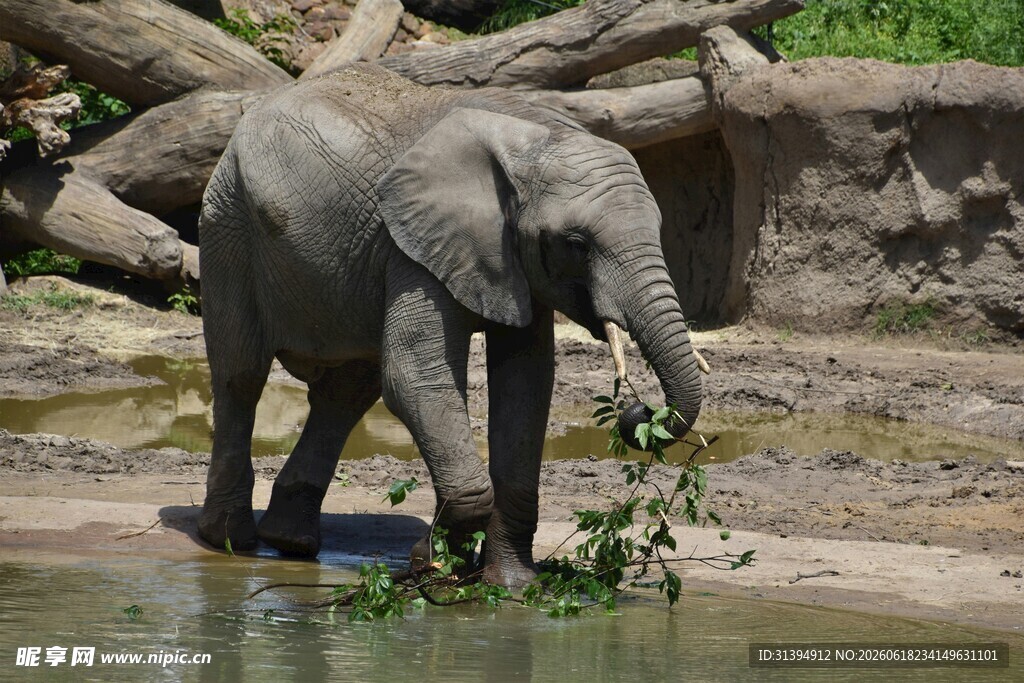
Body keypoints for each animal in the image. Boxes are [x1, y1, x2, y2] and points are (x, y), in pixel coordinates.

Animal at [196, 63, 703, 588]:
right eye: (577, 243)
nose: (637, 412)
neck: (536, 138)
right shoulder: (413, 246)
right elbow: (416, 377)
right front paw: (433, 564)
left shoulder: (507, 259)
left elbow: (525, 388)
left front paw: (510, 586)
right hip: (229, 222)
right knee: (242, 376)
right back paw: (229, 540)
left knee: (347, 392)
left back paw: (290, 542)